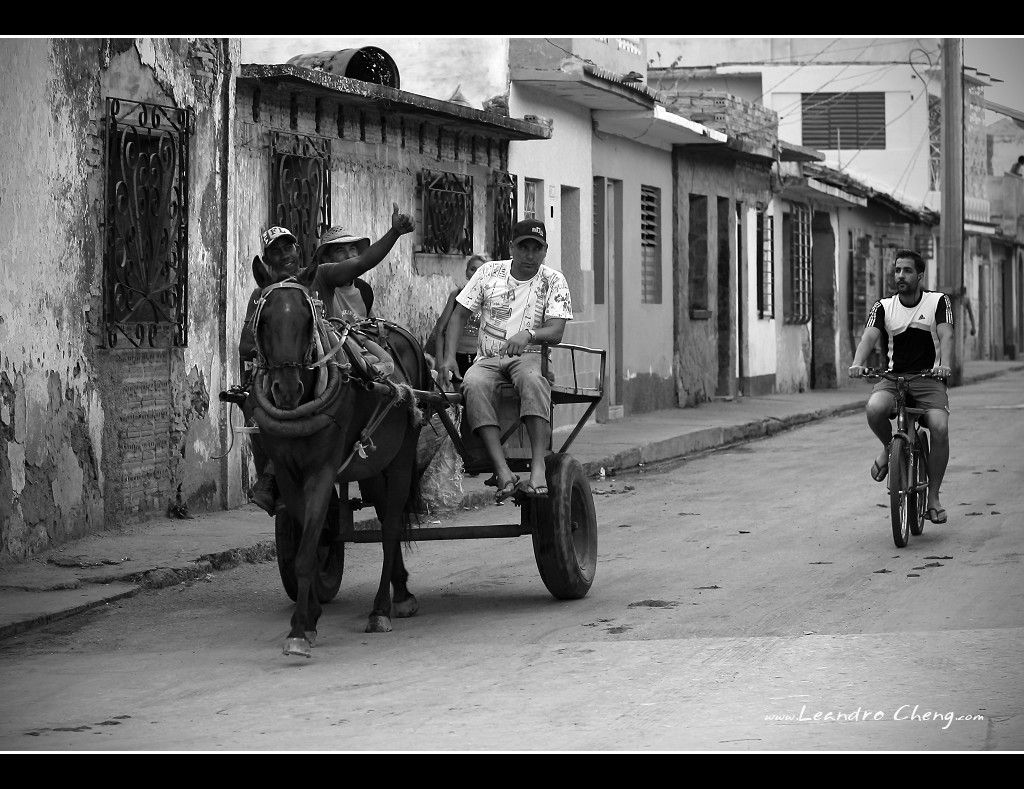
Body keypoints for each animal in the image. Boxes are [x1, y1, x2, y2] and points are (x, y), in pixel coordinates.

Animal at [249, 260, 430, 659]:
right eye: (263, 318)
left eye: (307, 319)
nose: (287, 390)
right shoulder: (288, 474)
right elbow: (311, 541)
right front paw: (310, 615)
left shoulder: (321, 471)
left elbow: (306, 553)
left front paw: (299, 630)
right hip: (374, 465)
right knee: (384, 513)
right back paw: (402, 591)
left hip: (401, 457)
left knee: (391, 528)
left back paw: (381, 609)